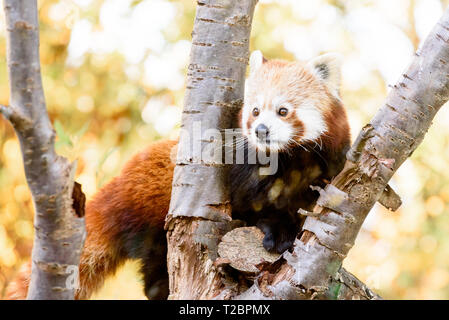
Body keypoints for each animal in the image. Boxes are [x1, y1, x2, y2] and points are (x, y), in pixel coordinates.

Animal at [6, 50, 350, 300]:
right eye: (254, 110)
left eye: (282, 110)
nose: (261, 130)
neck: (289, 162)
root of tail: (122, 183)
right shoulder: (241, 173)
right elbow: (252, 206)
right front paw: (278, 231)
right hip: (155, 220)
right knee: (158, 268)